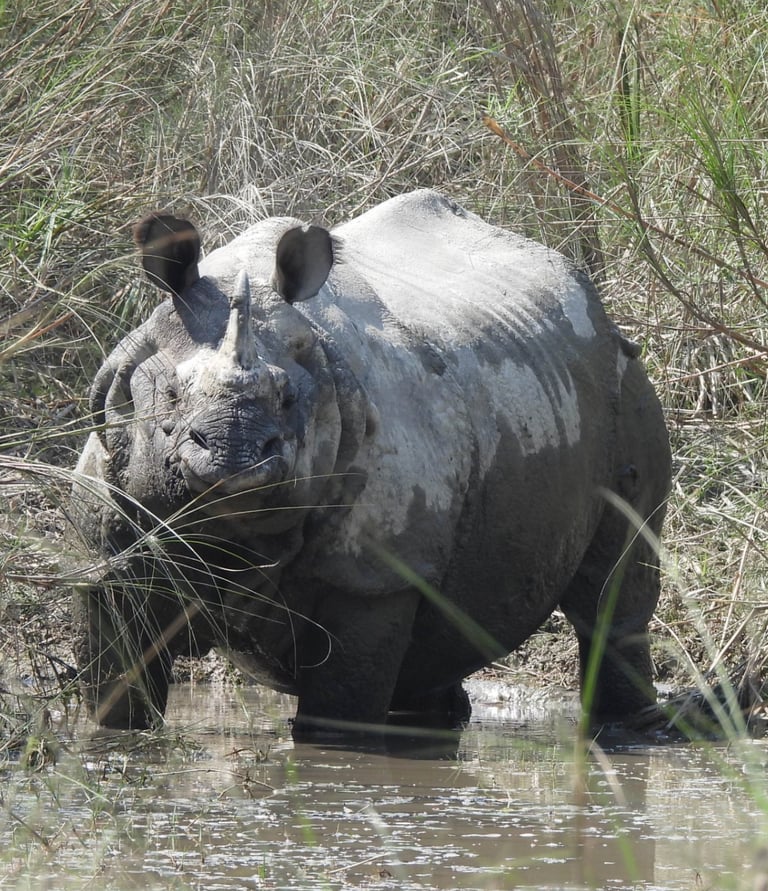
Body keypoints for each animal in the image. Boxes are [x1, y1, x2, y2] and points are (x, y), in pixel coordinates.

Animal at [71, 189, 671, 735]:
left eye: (289, 399)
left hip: (625, 384)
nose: (231, 458)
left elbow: (340, 718)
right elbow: (118, 697)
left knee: (611, 593)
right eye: (170, 395)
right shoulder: (109, 547)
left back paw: (628, 728)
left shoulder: (372, 575)